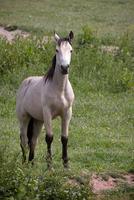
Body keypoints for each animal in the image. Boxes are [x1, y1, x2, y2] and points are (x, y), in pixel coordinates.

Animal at [15, 30, 74, 169]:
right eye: (57, 50)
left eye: (71, 50)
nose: (64, 68)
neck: (60, 90)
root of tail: (25, 83)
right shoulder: (48, 113)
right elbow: (49, 137)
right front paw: (49, 166)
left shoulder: (67, 113)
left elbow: (64, 138)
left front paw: (66, 164)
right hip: (24, 119)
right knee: (24, 140)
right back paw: (24, 163)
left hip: (37, 121)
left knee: (33, 140)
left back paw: (31, 163)